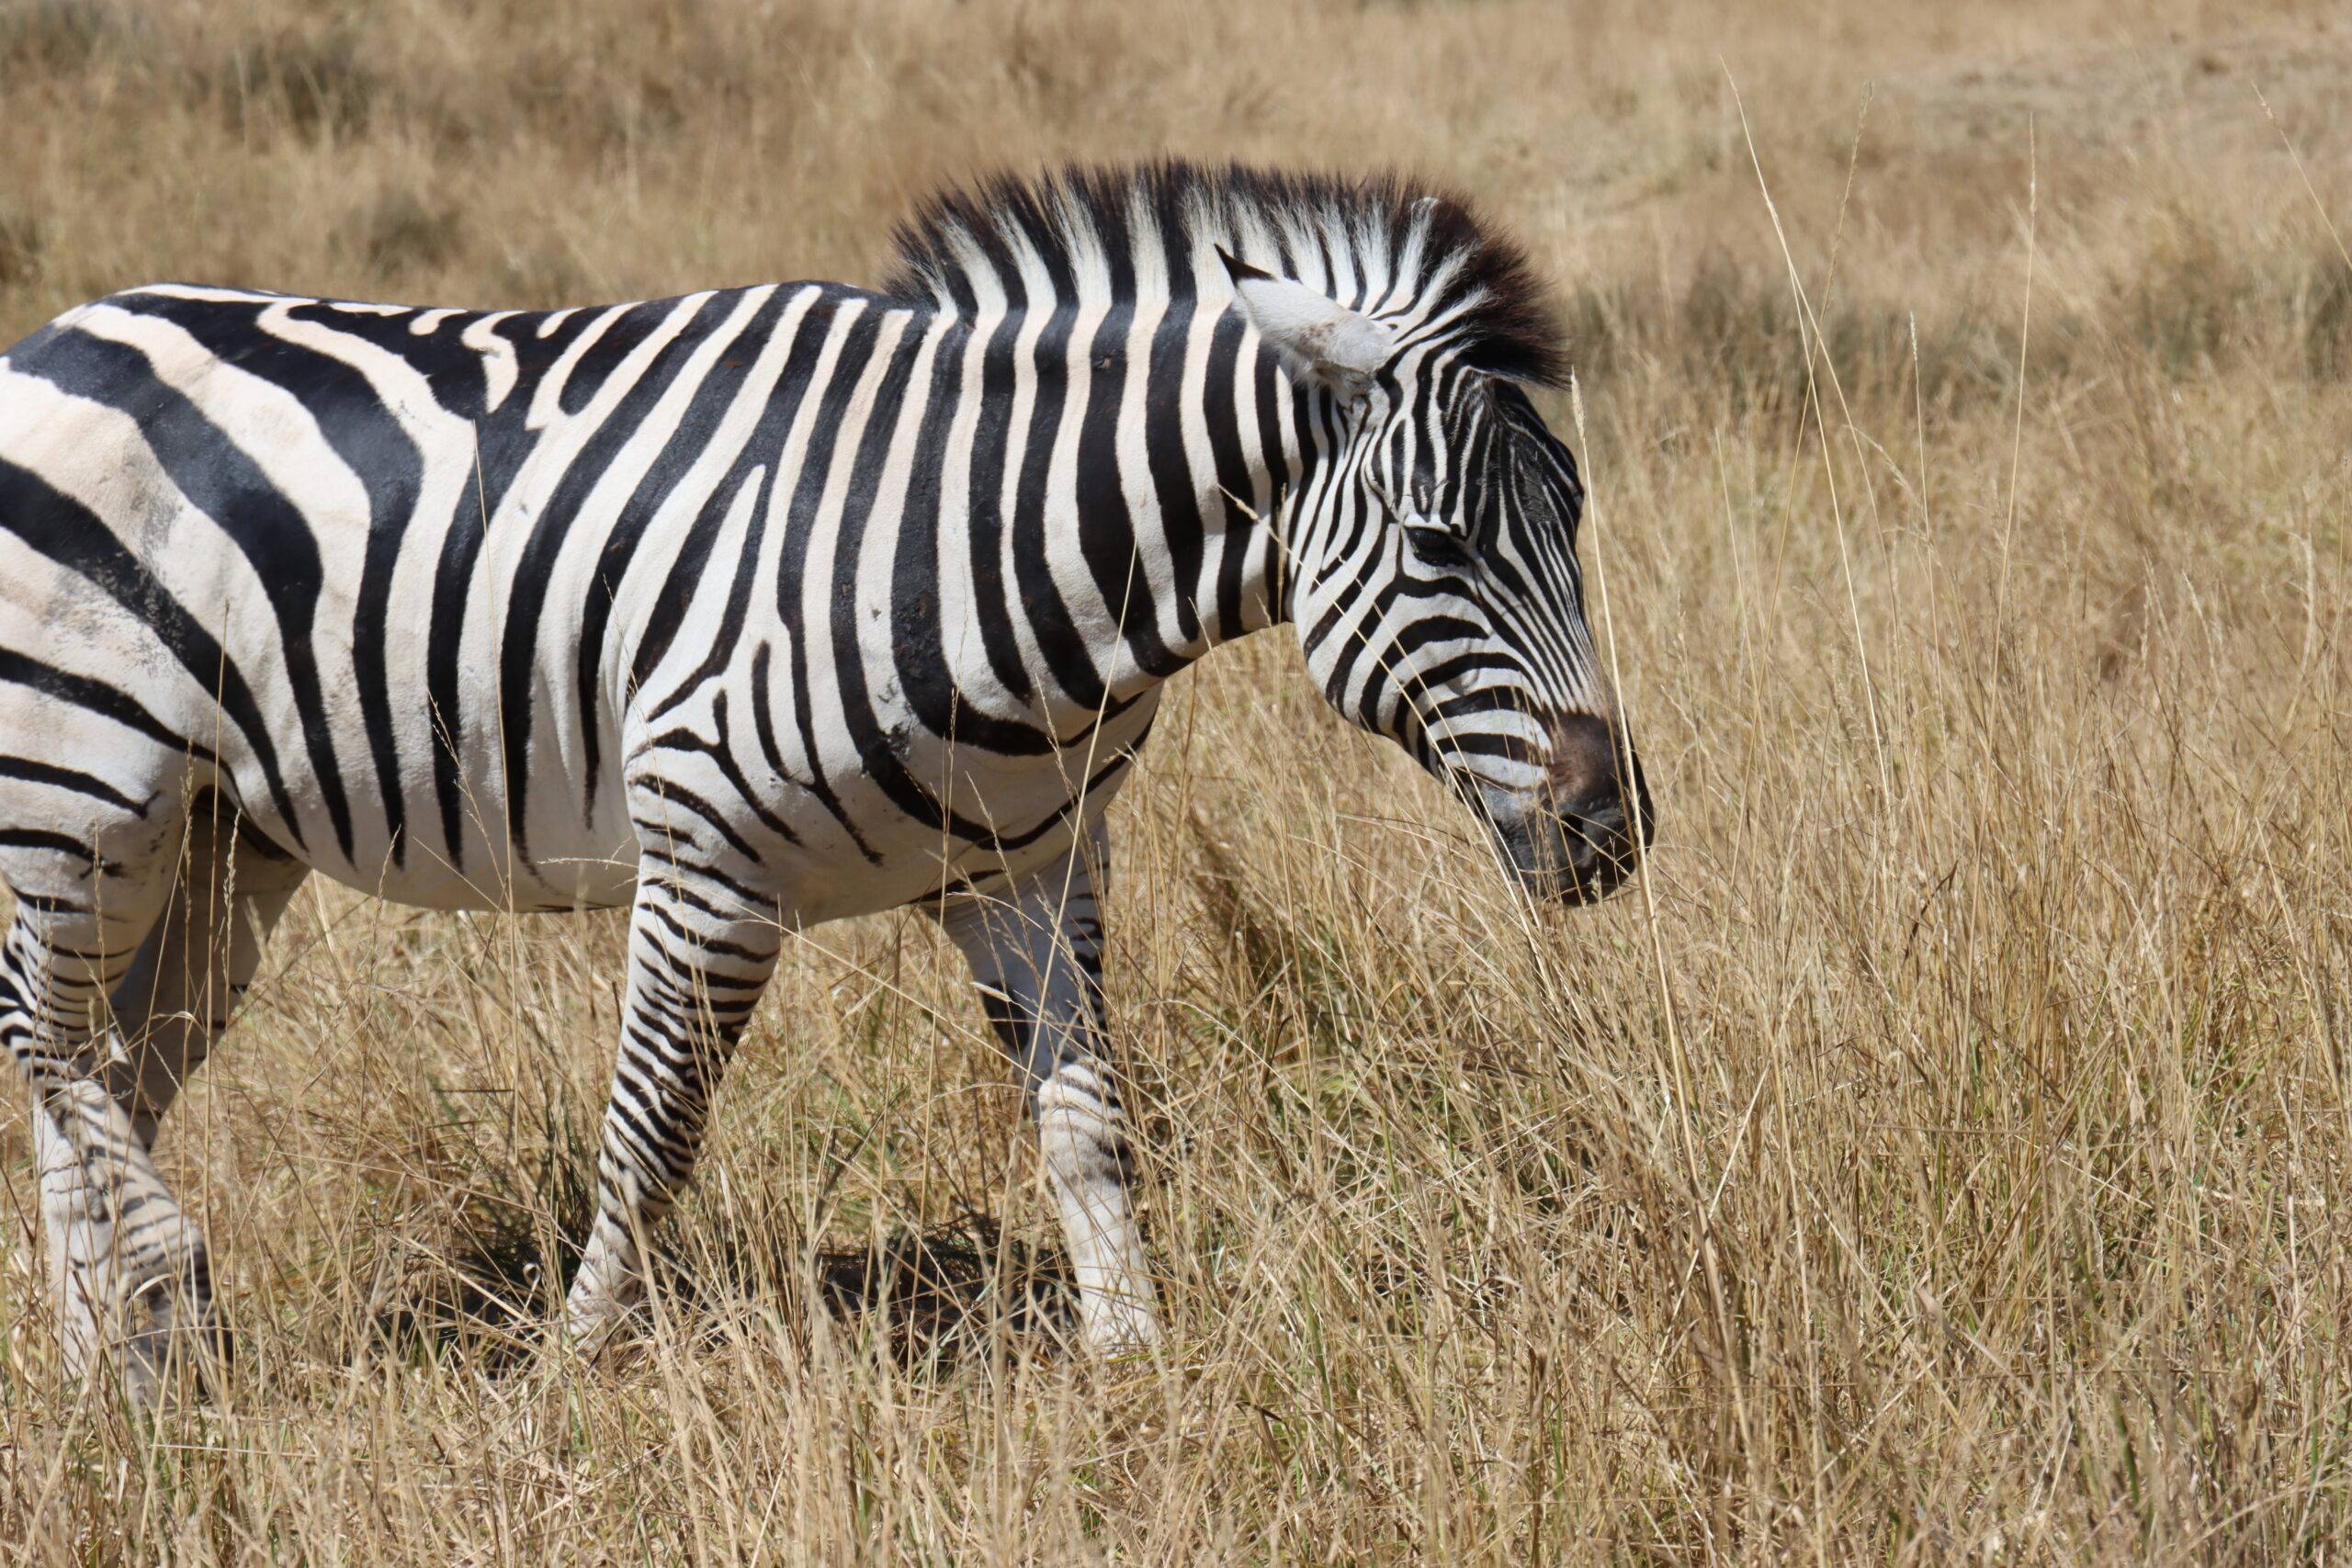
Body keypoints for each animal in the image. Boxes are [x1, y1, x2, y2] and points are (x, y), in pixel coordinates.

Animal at [0, 165, 1656, 1401]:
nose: (1612, 828)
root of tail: (56, 334)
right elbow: (650, 1140)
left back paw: (118, 1384)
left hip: (221, 836)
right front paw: (573, 1379)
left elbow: (1091, 1129)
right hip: (82, 786)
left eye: (1576, 514)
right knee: (48, 1044)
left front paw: (1139, 1370)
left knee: (103, 1072)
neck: (973, 529)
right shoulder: (706, 865)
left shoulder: (1033, 871)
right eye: (1439, 545)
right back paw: (171, 1294)